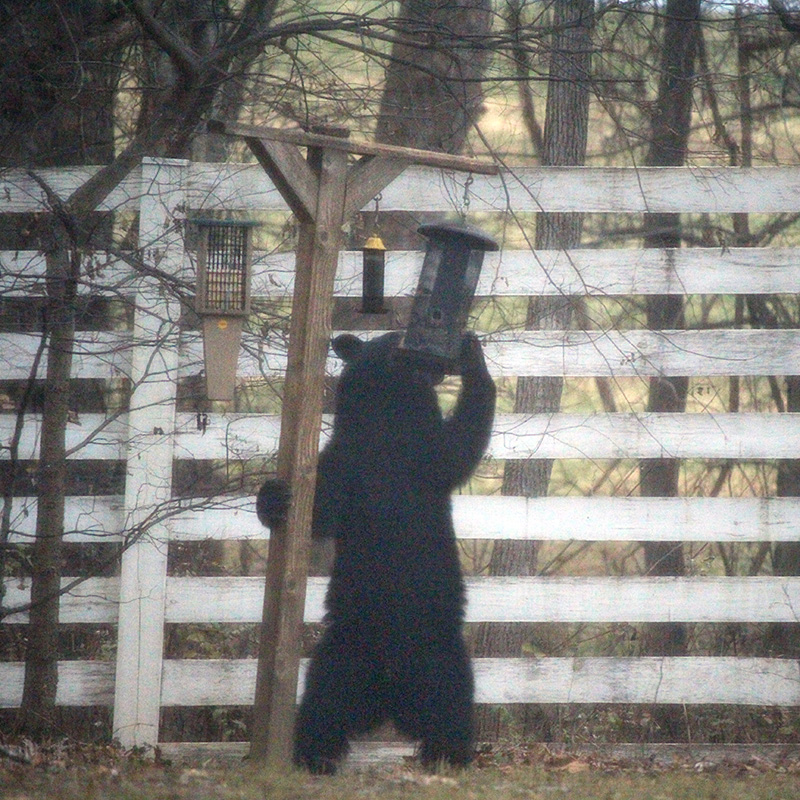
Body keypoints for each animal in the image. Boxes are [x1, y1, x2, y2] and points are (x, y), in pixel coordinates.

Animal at [256, 330, 496, 774]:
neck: (385, 429)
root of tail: (388, 698)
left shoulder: (417, 460)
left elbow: (460, 444)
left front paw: (473, 356)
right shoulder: (346, 465)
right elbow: (321, 509)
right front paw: (276, 498)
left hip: (436, 650)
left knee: (451, 701)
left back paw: (448, 754)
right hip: (345, 653)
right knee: (323, 703)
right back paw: (313, 755)